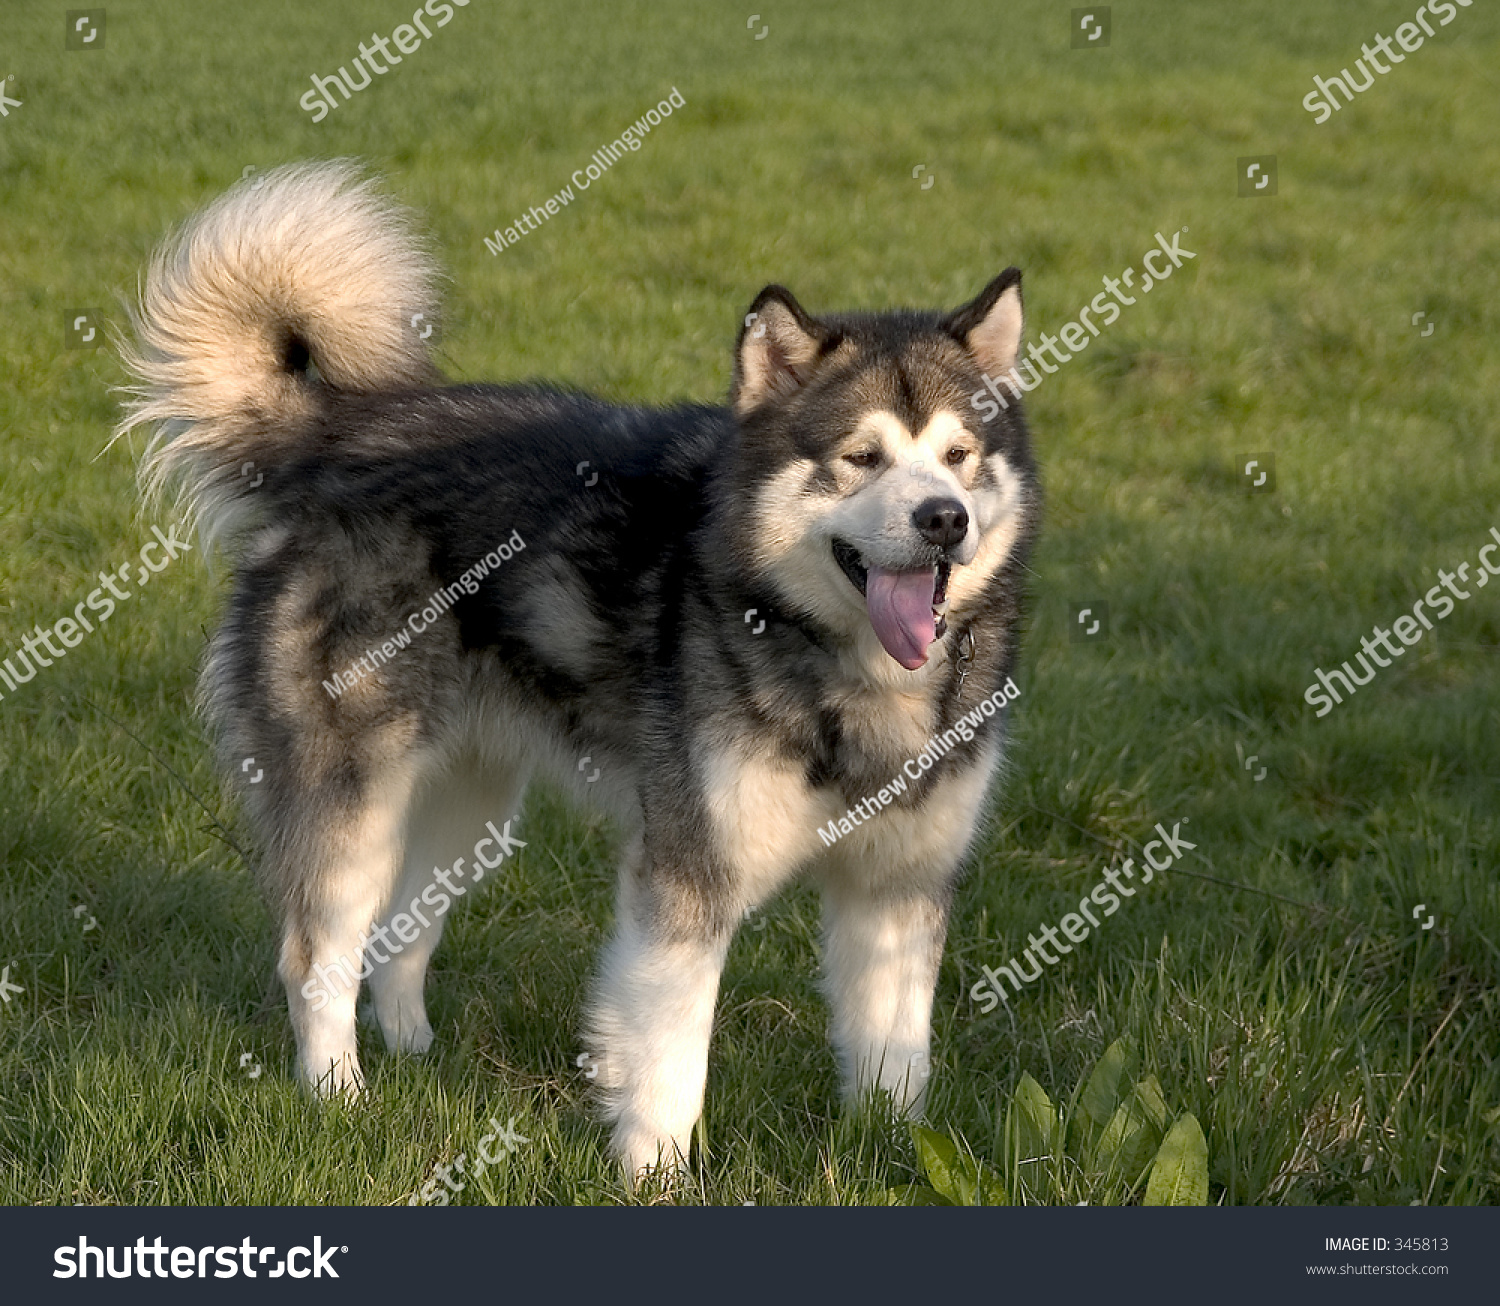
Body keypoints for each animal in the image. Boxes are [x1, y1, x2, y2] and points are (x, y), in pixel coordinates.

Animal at [117, 158, 1038, 1181]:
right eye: (863, 458)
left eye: (959, 455)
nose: (943, 518)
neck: (844, 669)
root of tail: (338, 436)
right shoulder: (686, 874)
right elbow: (672, 1052)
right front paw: (653, 1173)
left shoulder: (900, 886)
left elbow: (895, 1051)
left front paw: (895, 1150)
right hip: (352, 802)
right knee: (316, 955)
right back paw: (339, 1096)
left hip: (469, 806)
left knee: (401, 931)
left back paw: (416, 1057)